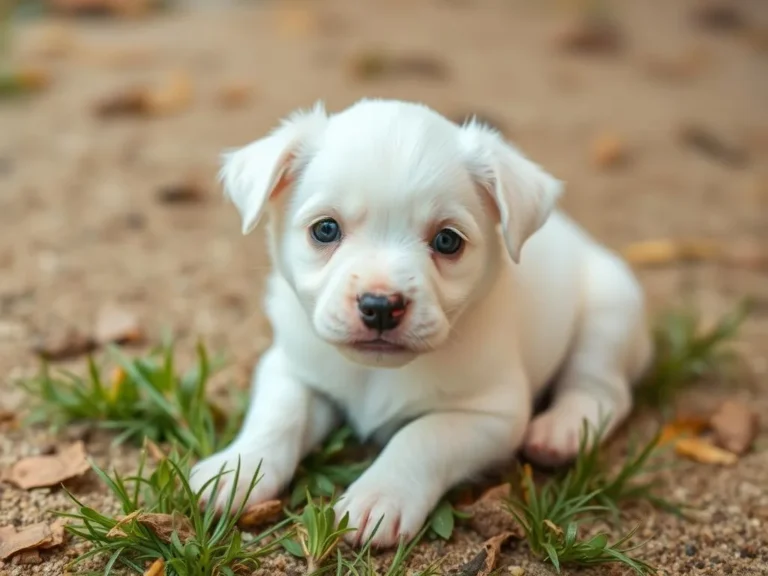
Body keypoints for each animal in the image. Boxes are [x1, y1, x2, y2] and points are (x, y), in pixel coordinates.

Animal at [189, 99, 652, 548]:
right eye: (325, 229)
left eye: (447, 240)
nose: (380, 306)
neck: (374, 374)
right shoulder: (290, 368)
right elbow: (278, 414)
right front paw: (237, 467)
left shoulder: (492, 414)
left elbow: (423, 435)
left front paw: (380, 495)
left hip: (609, 313)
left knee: (602, 389)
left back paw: (563, 429)